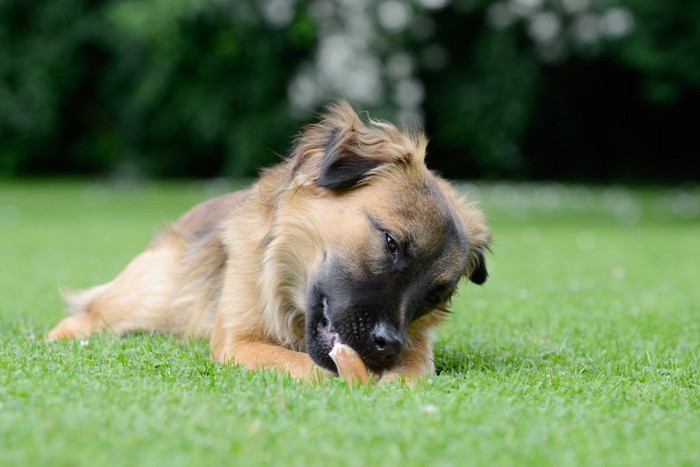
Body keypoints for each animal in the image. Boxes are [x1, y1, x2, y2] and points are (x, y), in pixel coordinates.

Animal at [47, 102, 492, 384]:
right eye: (391, 242)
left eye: (436, 295)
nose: (388, 347)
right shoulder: (238, 341)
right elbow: (308, 366)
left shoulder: (417, 350)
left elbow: (413, 374)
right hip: (146, 299)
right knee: (85, 317)